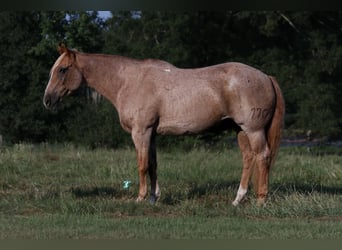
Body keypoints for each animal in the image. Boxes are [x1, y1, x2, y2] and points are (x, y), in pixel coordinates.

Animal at [43, 44, 286, 206]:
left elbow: (142, 165)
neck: (129, 81)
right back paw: (238, 199)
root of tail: (266, 76)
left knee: (262, 156)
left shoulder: (140, 132)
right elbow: (153, 164)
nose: (47, 100)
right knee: (248, 158)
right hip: (240, 130)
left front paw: (140, 198)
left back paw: (260, 200)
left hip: (253, 130)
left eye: (62, 69)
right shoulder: (151, 133)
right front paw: (153, 197)